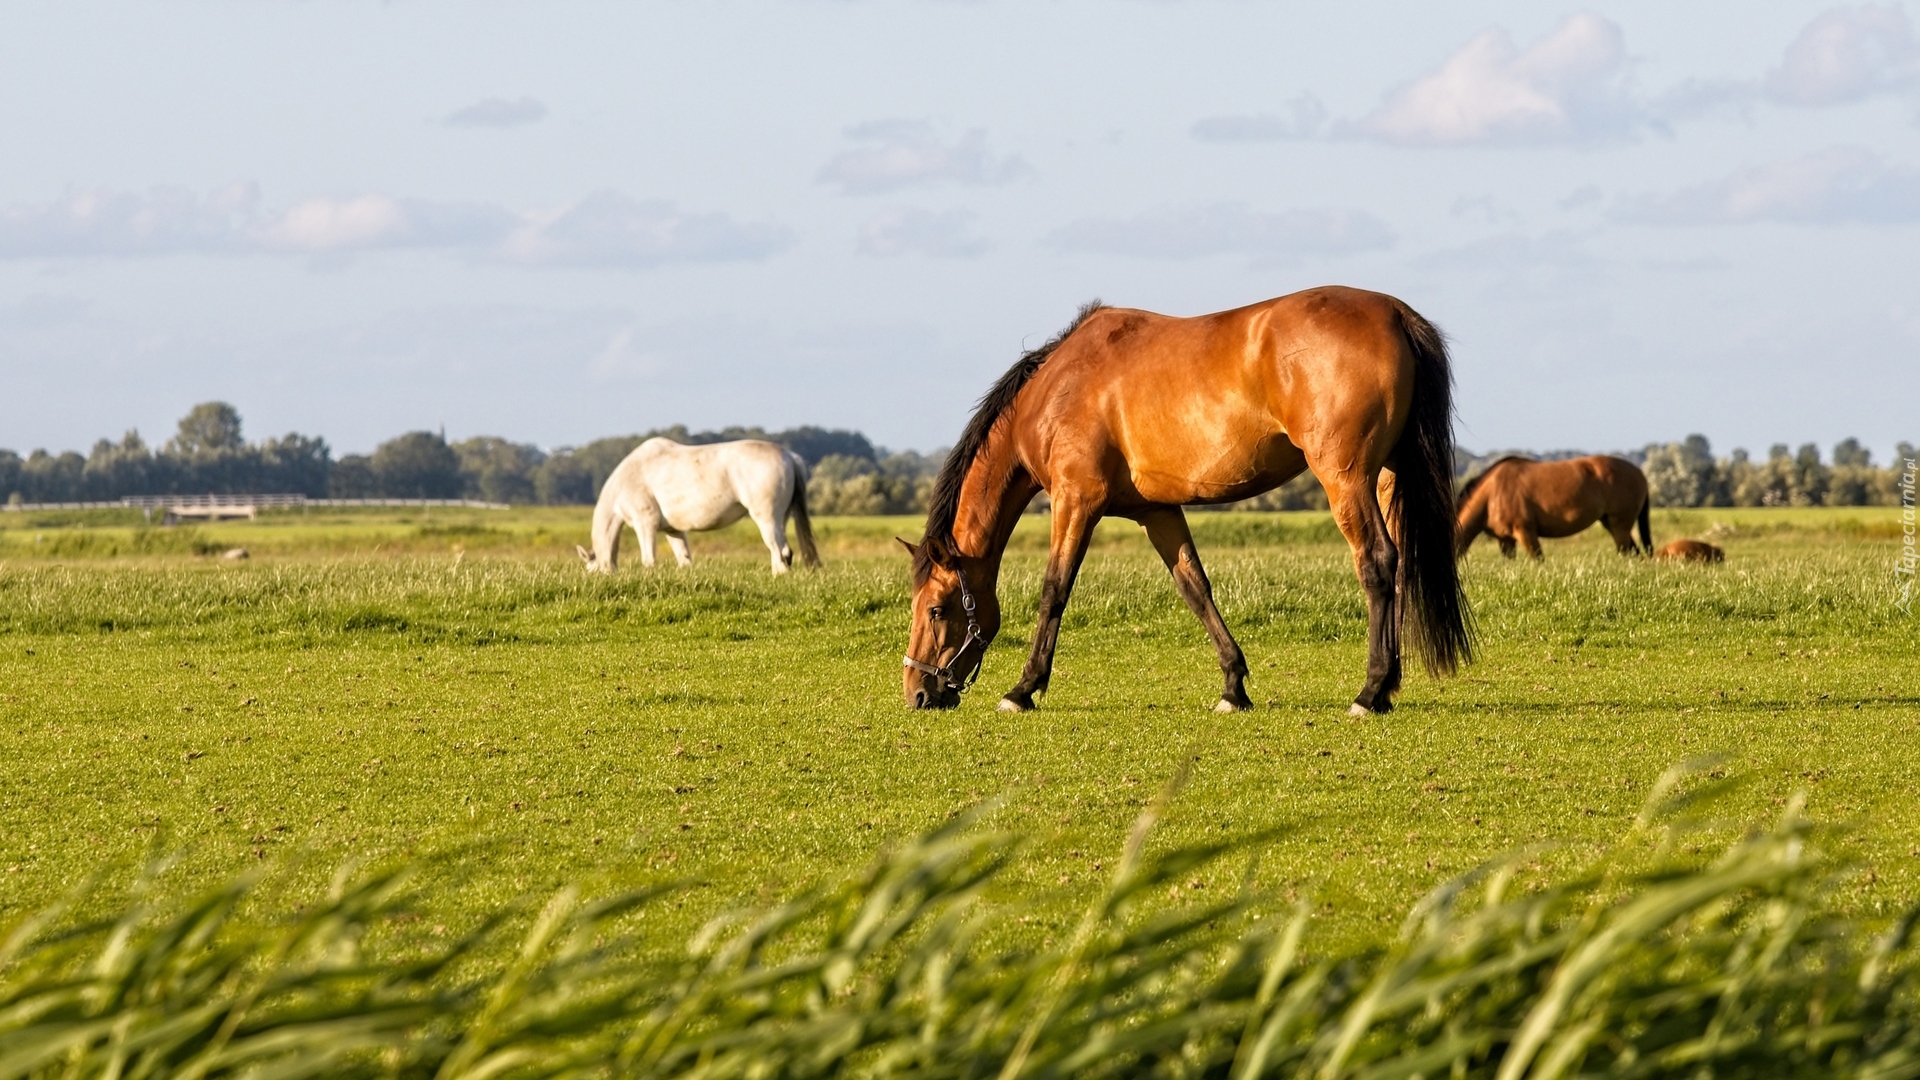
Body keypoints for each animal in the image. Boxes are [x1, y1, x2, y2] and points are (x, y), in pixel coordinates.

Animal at [568, 434, 810, 576]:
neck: (625, 481)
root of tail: (789, 456)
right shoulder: (673, 531)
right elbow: (684, 559)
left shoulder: (644, 524)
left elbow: (649, 559)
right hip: (781, 519)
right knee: (783, 551)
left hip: (767, 520)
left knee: (778, 551)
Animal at [894, 290, 1466, 718]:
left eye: (936, 608)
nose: (918, 693)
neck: (1057, 388)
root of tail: (1395, 314)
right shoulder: (1157, 511)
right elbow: (1195, 588)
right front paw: (1233, 687)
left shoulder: (1076, 501)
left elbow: (1054, 590)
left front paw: (1023, 689)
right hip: (1386, 478)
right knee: (1399, 563)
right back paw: (1386, 688)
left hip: (1345, 479)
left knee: (1377, 563)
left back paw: (1370, 692)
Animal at [1451, 451, 1651, 553]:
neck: (1493, 494)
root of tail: (1640, 473)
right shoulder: (1505, 540)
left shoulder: (1526, 532)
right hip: (1609, 523)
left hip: (1620, 526)